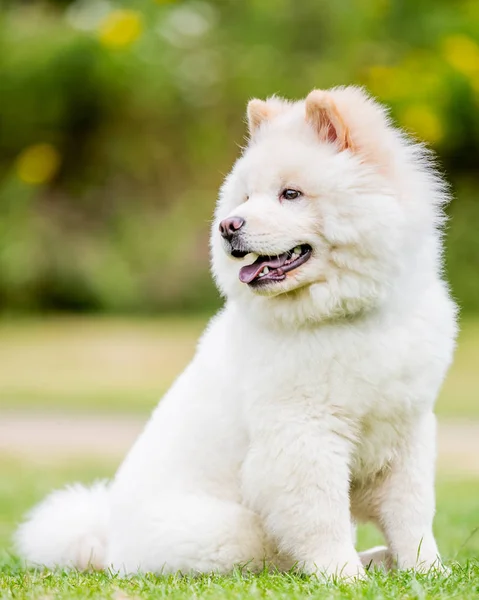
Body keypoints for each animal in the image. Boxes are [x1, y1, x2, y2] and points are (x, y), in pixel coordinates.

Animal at [15, 86, 458, 580]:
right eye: (246, 197)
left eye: (290, 194)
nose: (228, 226)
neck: (345, 314)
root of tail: (107, 543)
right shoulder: (303, 439)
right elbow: (322, 520)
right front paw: (344, 578)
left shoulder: (407, 432)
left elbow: (412, 516)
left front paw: (429, 573)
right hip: (237, 530)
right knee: (276, 557)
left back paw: (379, 559)